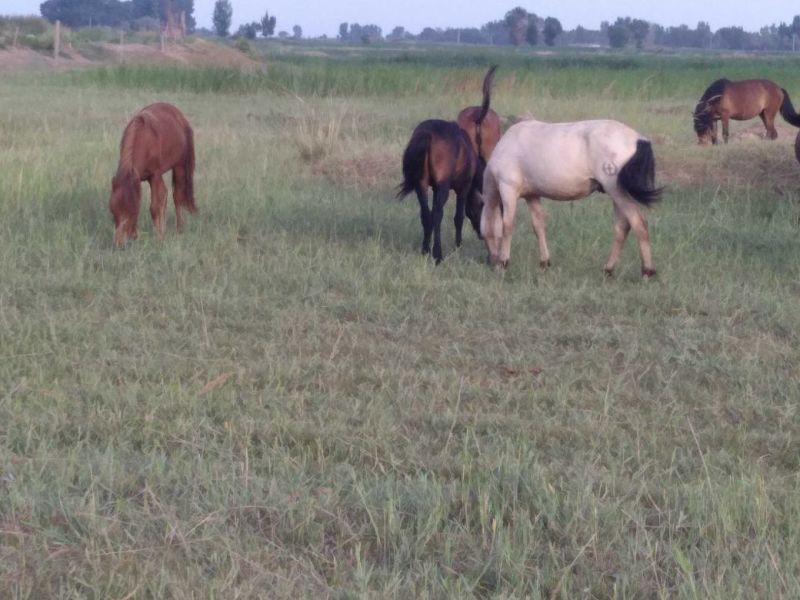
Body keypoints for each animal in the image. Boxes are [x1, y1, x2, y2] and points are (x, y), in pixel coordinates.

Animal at [109, 102, 196, 246]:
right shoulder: (140, 179)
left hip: (179, 167)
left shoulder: (154, 176)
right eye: (113, 210)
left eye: (132, 211)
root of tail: (179, 116)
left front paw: (158, 239)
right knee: (165, 195)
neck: (143, 141)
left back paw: (179, 230)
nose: (119, 243)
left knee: (177, 197)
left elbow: (155, 207)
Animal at [396, 120, 483, 263]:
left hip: (422, 185)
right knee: (437, 215)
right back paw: (438, 255)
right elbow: (458, 218)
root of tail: (427, 134)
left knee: (426, 215)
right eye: (482, 207)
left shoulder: (435, 189)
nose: (482, 234)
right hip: (443, 187)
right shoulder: (463, 189)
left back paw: (425, 251)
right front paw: (458, 247)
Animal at [481, 119, 662, 277]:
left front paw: (503, 263)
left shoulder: (508, 189)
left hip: (617, 193)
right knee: (622, 227)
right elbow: (538, 226)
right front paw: (544, 263)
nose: (491, 260)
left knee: (639, 224)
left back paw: (647, 271)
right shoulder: (532, 196)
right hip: (617, 195)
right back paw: (608, 270)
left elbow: (507, 226)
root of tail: (639, 140)